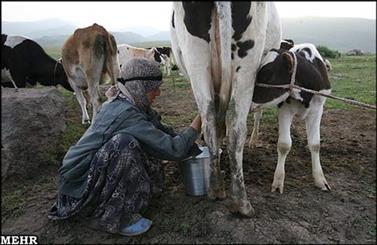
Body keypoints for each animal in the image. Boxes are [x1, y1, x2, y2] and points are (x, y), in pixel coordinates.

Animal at [170, 2, 282, 216]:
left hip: (196, 61)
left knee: (210, 124)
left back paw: (215, 189)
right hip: (246, 67)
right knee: (237, 130)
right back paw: (241, 203)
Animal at [248, 43, 330, 194]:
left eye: (268, 76)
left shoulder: (317, 109)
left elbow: (315, 144)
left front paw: (320, 179)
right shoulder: (285, 109)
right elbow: (284, 144)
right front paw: (278, 180)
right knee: (257, 118)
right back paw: (253, 140)